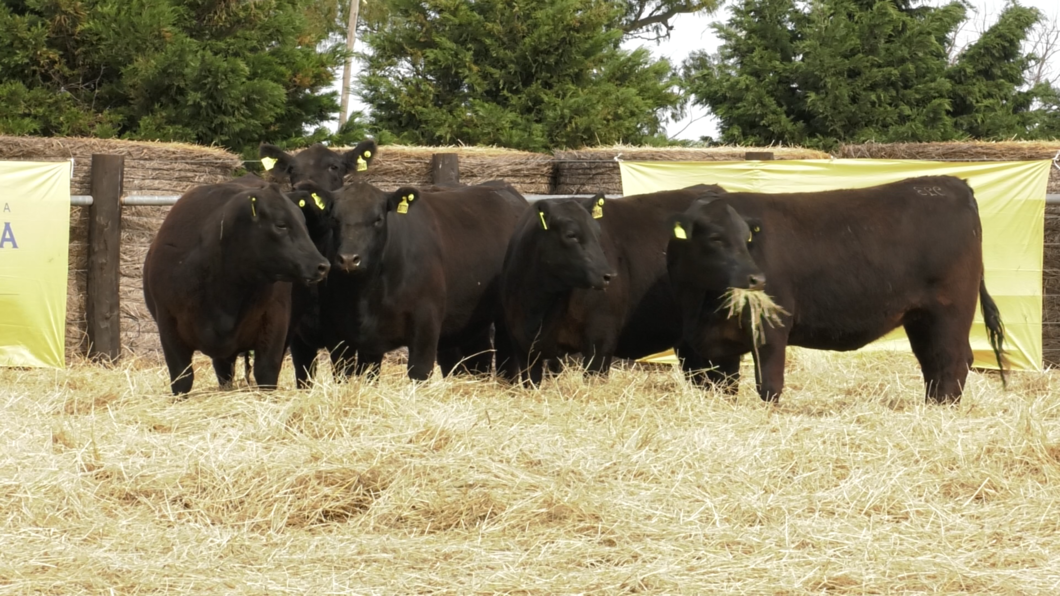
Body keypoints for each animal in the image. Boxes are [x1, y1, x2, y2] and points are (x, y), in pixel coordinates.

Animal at [143, 181, 328, 394]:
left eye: (304, 225)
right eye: (281, 224)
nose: (322, 265)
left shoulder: (275, 324)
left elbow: (267, 374)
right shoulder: (168, 327)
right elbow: (182, 379)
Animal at [311, 178, 527, 377]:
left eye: (378, 219)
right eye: (334, 218)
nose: (349, 259)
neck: (364, 297)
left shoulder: (426, 323)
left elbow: (419, 371)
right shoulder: (340, 334)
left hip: (505, 317)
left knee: (507, 359)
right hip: (472, 318)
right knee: (480, 357)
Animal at [500, 185, 725, 386]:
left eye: (598, 233)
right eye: (571, 234)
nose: (608, 275)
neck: (541, 307)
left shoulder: (601, 340)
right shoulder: (523, 346)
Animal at [665, 173, 1004, 400]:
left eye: (746, 237)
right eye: (715, 238)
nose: (756, 279)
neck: (701, 303)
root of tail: (953, 183)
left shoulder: (772, 328)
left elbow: (769, 386)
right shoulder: (714, 348)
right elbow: (722, 386)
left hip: (950, 311)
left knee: (952, 361)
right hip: (921, 318)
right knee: (933, 361)